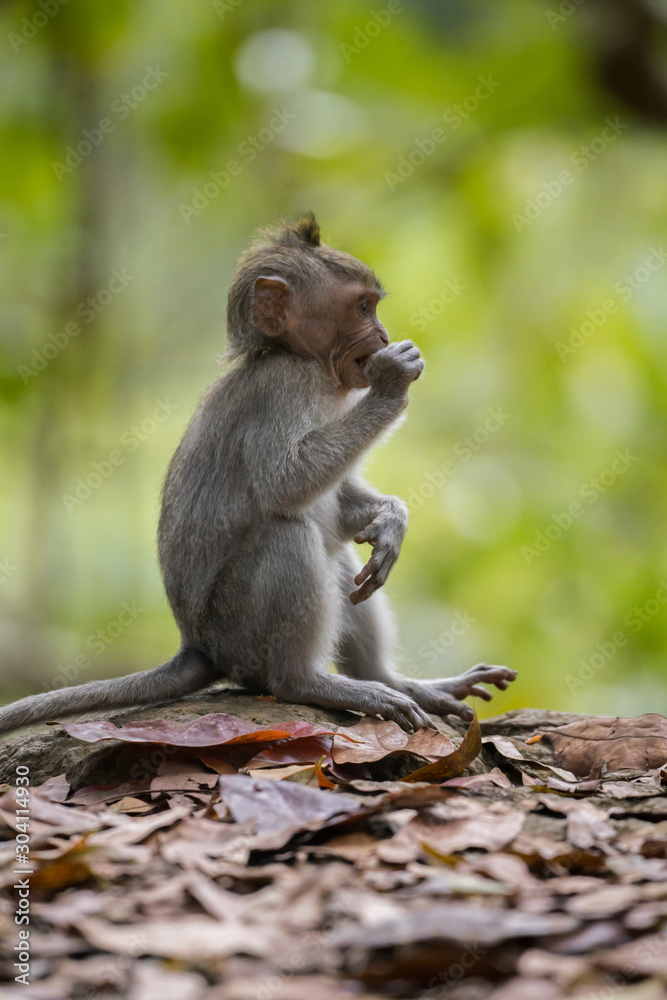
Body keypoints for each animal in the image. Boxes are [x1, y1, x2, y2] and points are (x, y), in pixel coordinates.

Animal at [0, 214, 516, 737]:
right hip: (238, 628)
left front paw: (392, 518)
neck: (309, 363)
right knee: (286, 535)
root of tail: (198, 646)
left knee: (339, 557)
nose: (385, 335)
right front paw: (392, 383)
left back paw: (395, 681)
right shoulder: (283, 386)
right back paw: (308, 682)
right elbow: (285, 483)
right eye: (362, 307)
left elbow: (341, 505)